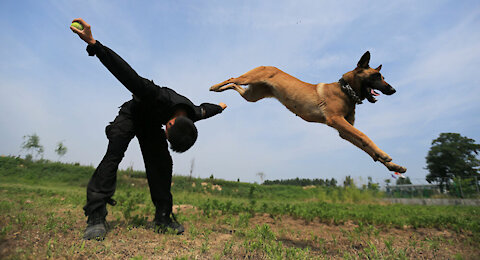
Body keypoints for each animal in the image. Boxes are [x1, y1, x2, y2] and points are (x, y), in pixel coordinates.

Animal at [209, 51, 404, 174]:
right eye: (376, 76)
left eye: (383, 77)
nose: (393, 90)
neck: (346, 90)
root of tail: (267, 65)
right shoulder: (336, 120)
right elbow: (364, 135)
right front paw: (384, 155)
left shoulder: (344, 131)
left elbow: (366, 146)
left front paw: (392, 165)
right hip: (248, 78)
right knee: (232, 78)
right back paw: (215, 86)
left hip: (252, 96)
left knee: (235, 86)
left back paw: (221, 96)